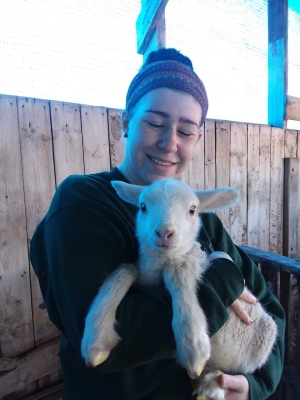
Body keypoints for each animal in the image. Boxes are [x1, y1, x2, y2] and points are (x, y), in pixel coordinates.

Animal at [81, 179, 278, 400]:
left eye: (192, 210)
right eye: (142, 207)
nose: (164, 233)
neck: (156, 269)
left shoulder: (195, 262)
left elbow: (177, 271)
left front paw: (193, 345)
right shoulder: (141, 272)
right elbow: (125, 270)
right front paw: (96, 341)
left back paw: (210, 384)